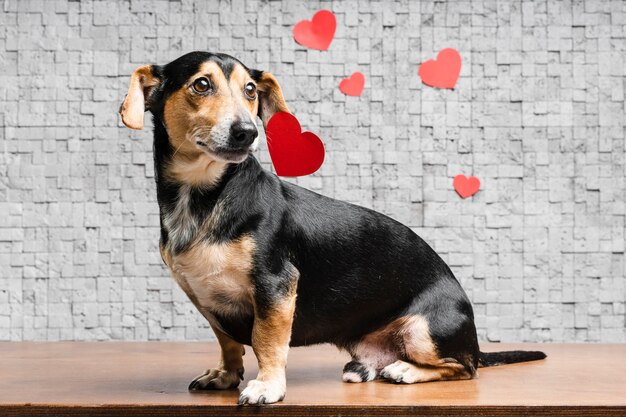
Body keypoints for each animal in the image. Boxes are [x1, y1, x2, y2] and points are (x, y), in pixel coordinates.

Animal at [119, 51, 544, 404]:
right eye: (201, 84)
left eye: (250, 90)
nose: (247, 132)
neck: (203, 197)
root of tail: (474, 341)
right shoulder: (205, 297)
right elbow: (227, 341)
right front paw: (226, 374)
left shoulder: (275, 285)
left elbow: (266, 341)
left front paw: (267, 386)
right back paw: (366, 367)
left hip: (425, 331)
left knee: (465, 367)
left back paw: (406, 369)